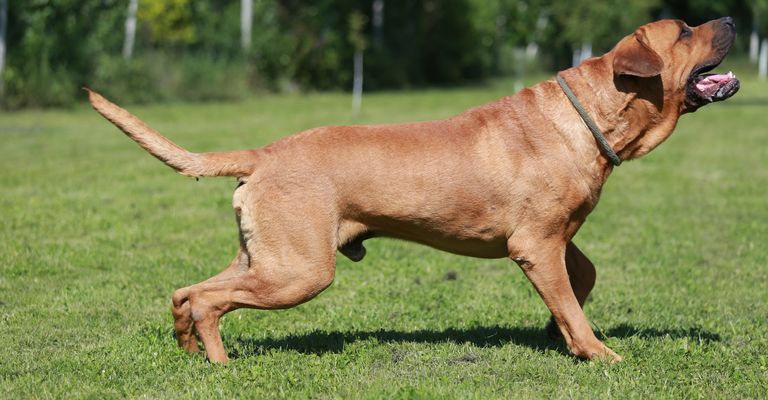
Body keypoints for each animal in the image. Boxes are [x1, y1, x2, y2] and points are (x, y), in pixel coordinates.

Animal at [87, 18, 740, 362]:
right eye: (685, 31)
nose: (731, 20)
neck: (590, 116)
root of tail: (265, 153)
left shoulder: (555, 238)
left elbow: (581, 281)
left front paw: (556, 330)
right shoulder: (536, 243)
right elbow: (574, 304)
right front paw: (595, 353)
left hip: (268, 255)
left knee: (186, 292)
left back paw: (189, 349)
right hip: (300, 271)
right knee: (207, 300)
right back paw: (220, 363)